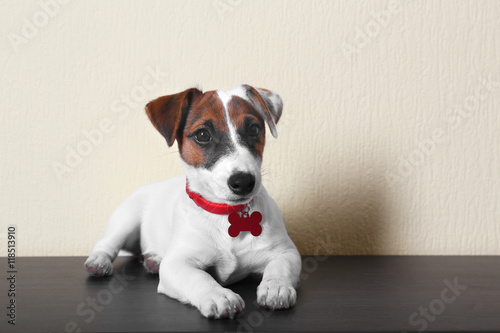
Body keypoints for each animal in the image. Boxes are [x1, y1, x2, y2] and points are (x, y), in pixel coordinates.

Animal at [84, 84, 300, 318]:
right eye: (202, 135)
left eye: (253, 129)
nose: (243, 182)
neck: (225, 213)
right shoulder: (176, 264)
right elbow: (199, 277)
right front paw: (219, 295)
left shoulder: (286, 252)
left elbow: (280, 267)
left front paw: (276, 287)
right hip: (125, 219)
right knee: (106, 243)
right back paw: (99, 261)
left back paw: (153, 260)